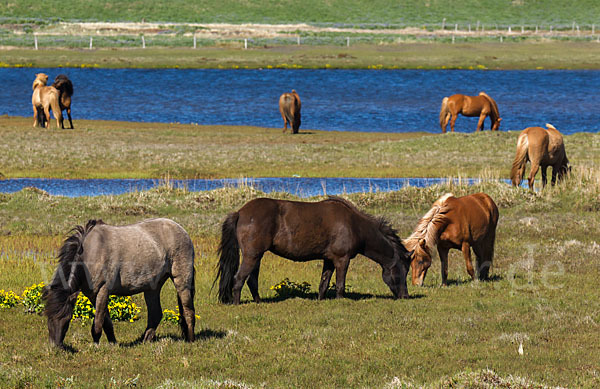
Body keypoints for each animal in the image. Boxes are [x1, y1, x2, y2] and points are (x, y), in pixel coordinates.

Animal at [42, 217, 197, 348]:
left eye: (67, 318)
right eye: (48, 317)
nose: (55, 347)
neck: (90, 254)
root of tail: (183, 231)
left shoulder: (103, 291)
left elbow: (98, 323)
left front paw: (96, 345)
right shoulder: (93, 295)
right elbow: (106, 322)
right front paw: (113, 343)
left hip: (182, 281)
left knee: (188, 311)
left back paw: (190, 340)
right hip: (152, 287)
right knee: (155, 314)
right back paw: (145, 340)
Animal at [216, 197, 412, 304]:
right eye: (401, 270)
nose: (405, 296)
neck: (354, 225)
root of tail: (240, 212)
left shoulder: (329, 260)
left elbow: (324, 283)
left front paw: (321, 300)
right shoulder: (342, 259)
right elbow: (340, 284)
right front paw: (340, 300)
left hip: (257, 256)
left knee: (251, 280)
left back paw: (258, 302)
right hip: (252, 255)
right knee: (238, 279)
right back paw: (237, 303)